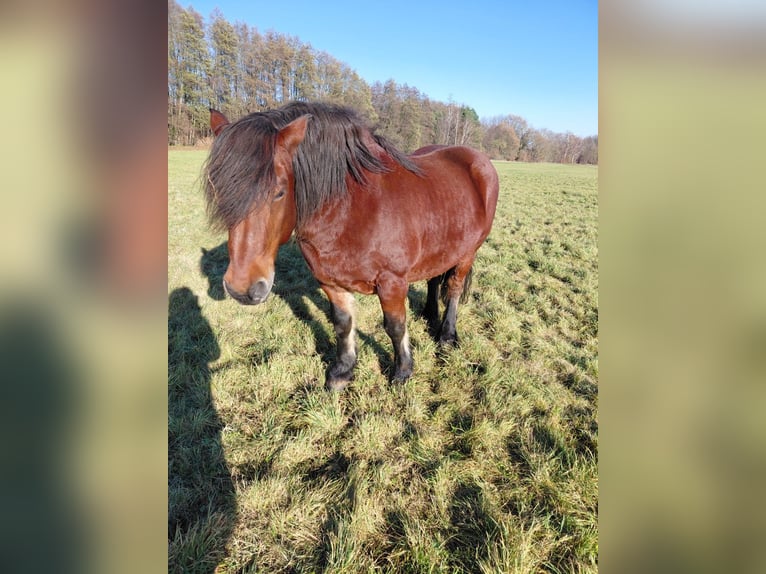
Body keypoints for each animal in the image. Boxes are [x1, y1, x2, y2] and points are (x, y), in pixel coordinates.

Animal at [204, 102, 498, 391]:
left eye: (279, 192)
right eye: (218, 190)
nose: (242, 289)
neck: (351, 209)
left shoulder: (392, 282)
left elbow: (395, 327)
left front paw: (402, 371)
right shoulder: (330, 283)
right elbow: (343, 325)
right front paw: (342, 372)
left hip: (467, 254)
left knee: (454, 289)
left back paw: (447, 335)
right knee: (434, 278)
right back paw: (428, 314)